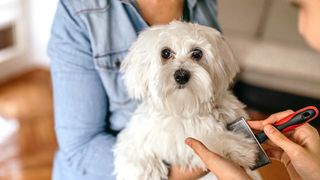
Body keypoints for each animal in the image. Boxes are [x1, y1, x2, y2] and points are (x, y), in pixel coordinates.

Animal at [114, 21, 258, 180]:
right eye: (165, 53)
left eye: (197, 53)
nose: (181, 76)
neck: (183, 107)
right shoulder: (141, 131)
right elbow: (133, 145)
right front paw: (145, 170)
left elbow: (210, 138)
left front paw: (234, 147)